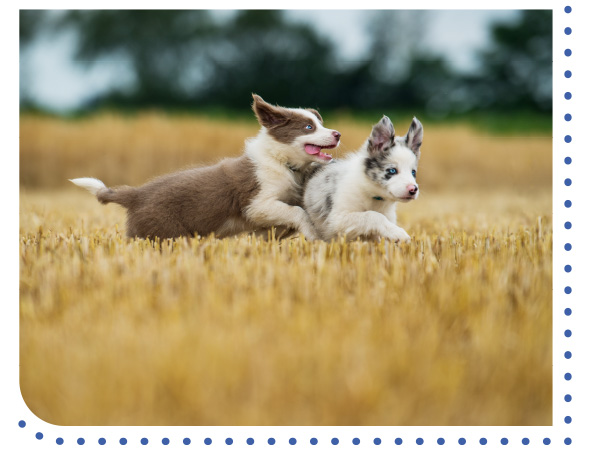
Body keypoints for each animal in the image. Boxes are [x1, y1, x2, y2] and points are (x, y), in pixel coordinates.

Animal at [71, 94, 340, 239]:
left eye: (320, 123)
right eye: (308, 127)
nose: (337, 134)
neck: (281, 161)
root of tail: (136, 194)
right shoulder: (256, 204)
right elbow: (296, 212)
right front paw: (313, 235)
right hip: (160, 231)